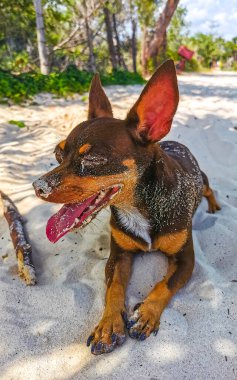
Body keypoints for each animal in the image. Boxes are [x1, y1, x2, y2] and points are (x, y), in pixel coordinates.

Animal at [32, 59, 220, 354]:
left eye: (94, 158)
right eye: (58, 154)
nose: (38, 186)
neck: (140, 207)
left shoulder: (186, 261)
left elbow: (164, 284)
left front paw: (145, 314)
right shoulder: (118, 257)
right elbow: (114, 288)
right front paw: (108, 325)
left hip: (204, 180)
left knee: (211, 191)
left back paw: (214, 207)